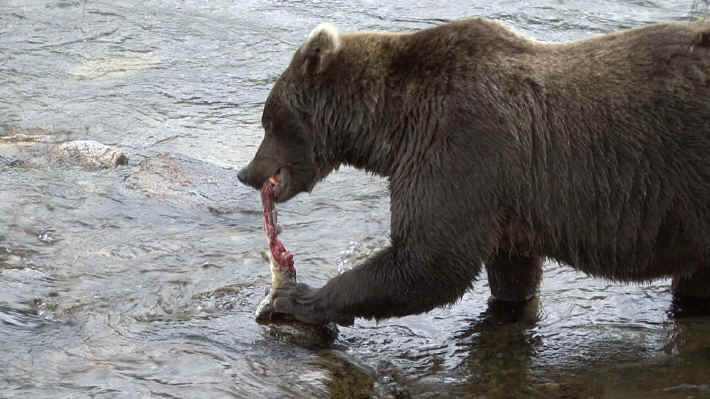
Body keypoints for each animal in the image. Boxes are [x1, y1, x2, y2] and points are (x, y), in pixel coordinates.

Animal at [238, 17, 710, 326]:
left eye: (269, 120)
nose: (247, 172)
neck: (393, 125)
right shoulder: (506, 196)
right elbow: (511, 269)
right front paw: (508, 306)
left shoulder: (460, 148)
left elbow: (430, 259)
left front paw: (296, 297)